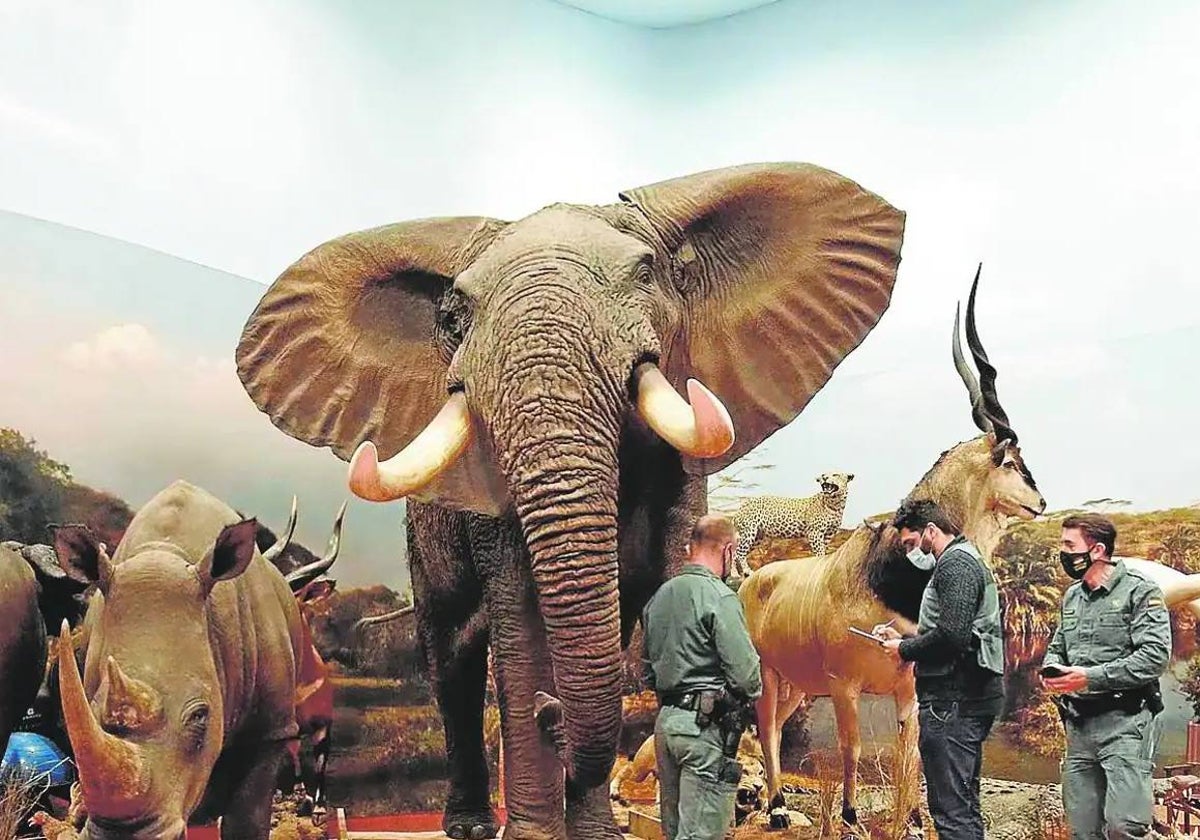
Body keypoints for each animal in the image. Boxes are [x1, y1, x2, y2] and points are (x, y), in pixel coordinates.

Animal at [52, 480, 304, 840]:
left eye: (201, 715)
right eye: (95, 707)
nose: (123, 834)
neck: (166, 552)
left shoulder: (272, 728)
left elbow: (247, 819)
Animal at [236, 160, 902, 835]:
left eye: (646, 275)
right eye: (454, 316)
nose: (546, 711)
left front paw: (595, 830)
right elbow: (521, 624)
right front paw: (535, 826)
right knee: (452, 656)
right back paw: (472, 822)